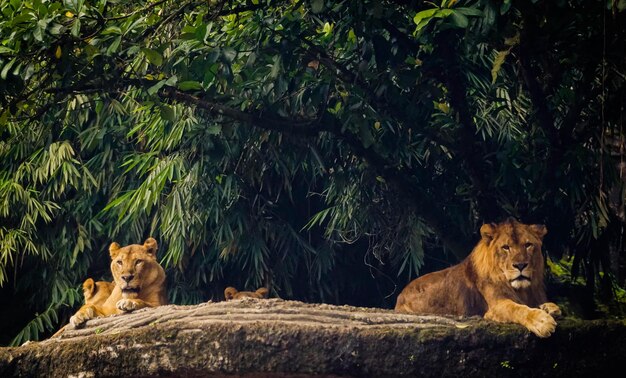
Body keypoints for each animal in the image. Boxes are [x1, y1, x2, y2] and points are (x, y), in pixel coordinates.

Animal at [392, 217, 560, 338]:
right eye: (506, 247)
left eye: (528, 245)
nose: (520, 265)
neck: (523, 290)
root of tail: (399, 296)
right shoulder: (495, 306)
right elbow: (518, 309)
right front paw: (542, 321)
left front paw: (550, 308)